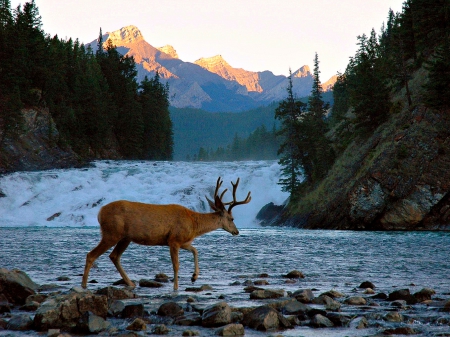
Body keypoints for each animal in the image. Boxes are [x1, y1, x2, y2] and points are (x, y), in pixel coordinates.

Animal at [81, 176, 250, 288]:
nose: (237, 231)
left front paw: (194, 277)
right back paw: (83, 285)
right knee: (91, 254)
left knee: (114, 256)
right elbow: (176, 265)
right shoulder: (174, 239)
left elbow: (195, 250)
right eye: (232, 218)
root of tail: (99, 212)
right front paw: (176, 288)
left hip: (125, 238)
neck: (194, 224)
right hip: (112, 233)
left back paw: (130, 283)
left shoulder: (182, 241)